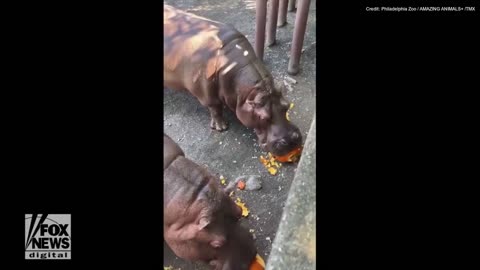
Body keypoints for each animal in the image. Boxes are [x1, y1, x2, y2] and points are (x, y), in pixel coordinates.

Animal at [164, 4, 300, 156]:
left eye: (286, 106)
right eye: (263, 117)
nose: (291, 141)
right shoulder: (208, 94)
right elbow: (215, 109)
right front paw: (222, 128)